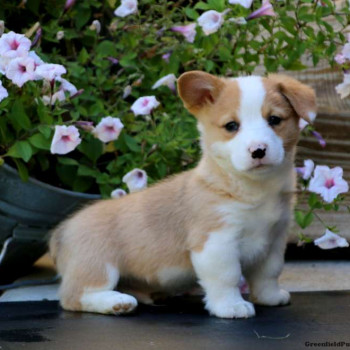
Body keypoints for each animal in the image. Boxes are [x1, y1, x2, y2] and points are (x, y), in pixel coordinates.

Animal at [50, 71, 318, 318]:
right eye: (231, 126)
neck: (255, 189)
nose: (258, 150)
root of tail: (61, 231)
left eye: (275, 119)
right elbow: (227, 278)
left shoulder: (273, 241)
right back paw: (116, 302)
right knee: (74, 296)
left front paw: (270, 298)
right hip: (98, 265)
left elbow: (268, 275)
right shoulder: (216, 243)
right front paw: (231, 306)